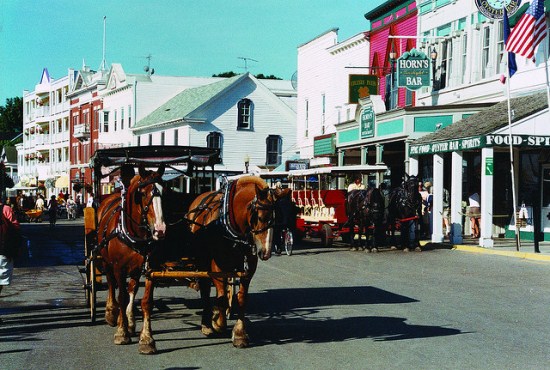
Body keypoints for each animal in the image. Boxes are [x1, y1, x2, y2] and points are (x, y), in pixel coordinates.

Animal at [96, 164, 167, 352]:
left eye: (164, 191)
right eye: (141, 194)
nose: (160, 229)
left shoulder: (150, 269)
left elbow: (146, 302)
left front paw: (147, 339)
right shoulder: (119, 267)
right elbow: (121, 297)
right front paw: (121, 332)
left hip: (135, 268)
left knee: (132, 288)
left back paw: (130, 321)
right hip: (106, 261)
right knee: (112, 285)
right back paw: (112, 313)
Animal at [187, 178, 288, 348]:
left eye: (276, 220)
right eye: (261, 217)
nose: (266, 252)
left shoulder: (249, 266)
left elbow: (241, 298)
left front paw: (240, 333)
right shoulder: (217, 267)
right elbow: (221, 295)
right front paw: (218, 323)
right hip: (203, 261)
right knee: (206, 288)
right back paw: (207, 323)